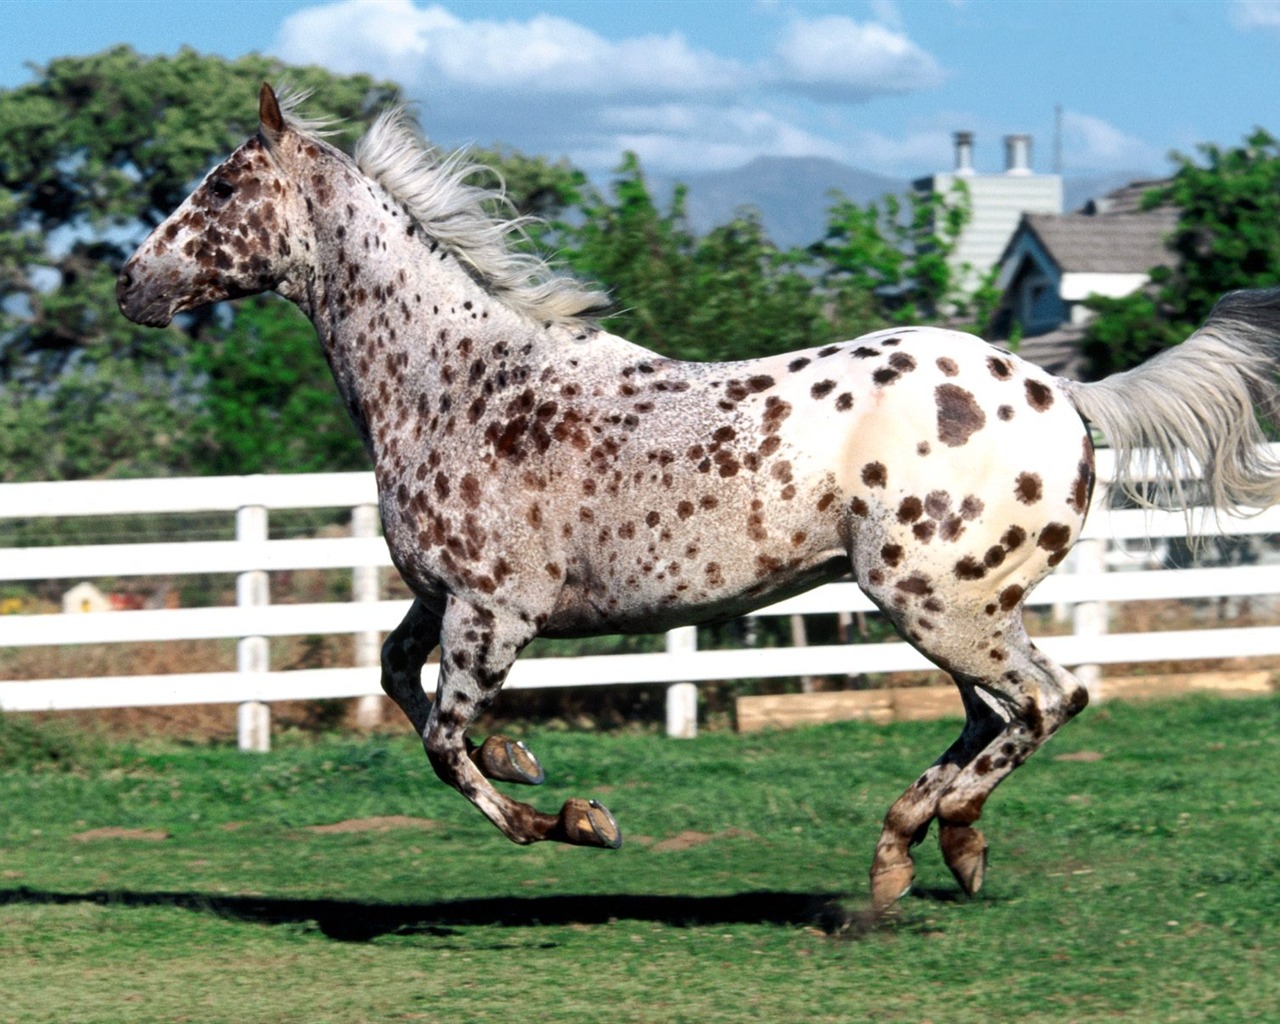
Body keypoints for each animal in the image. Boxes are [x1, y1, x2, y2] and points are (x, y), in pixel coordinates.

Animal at [117, 88, 1280, 916]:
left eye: (218, 190)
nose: (130, 283)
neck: (458, 382)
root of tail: (1062, 392)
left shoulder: (494, 614)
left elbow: (444, 744)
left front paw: (579, 820)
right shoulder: (439, 600)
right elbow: (401, 681)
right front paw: (524, 757)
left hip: (936, 602)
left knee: (1045, 702)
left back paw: (931, 836)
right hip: (962, 608)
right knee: (995, 713)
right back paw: (921, 850)